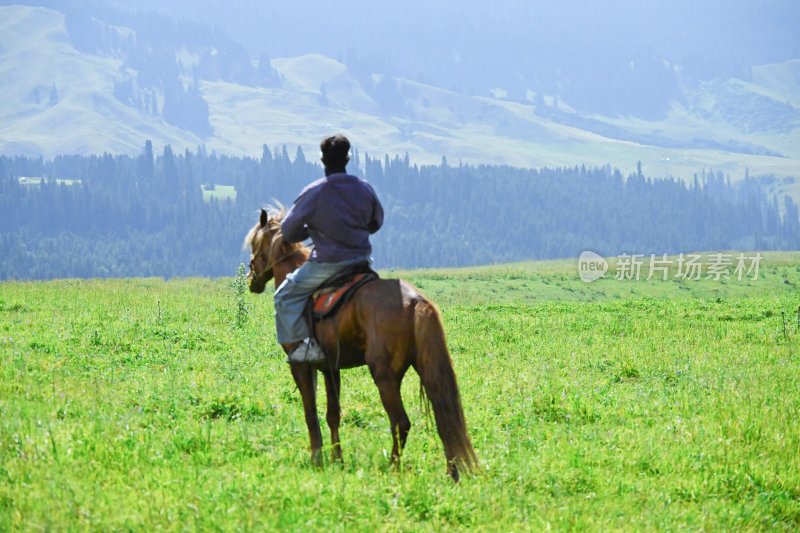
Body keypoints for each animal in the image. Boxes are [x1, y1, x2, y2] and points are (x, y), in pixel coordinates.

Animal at [244, 206, 478, 480]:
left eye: (255, 243)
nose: (252, 279)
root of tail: (416, 302)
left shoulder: (300, 365)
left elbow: (310, 412)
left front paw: (317, 459)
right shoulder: (330, 368)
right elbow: (333, 414)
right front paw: (337, 459)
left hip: (384, 375)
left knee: (401, 421)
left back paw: (393, 468)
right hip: (424, 366)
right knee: (444, 415)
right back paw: (452, 472)